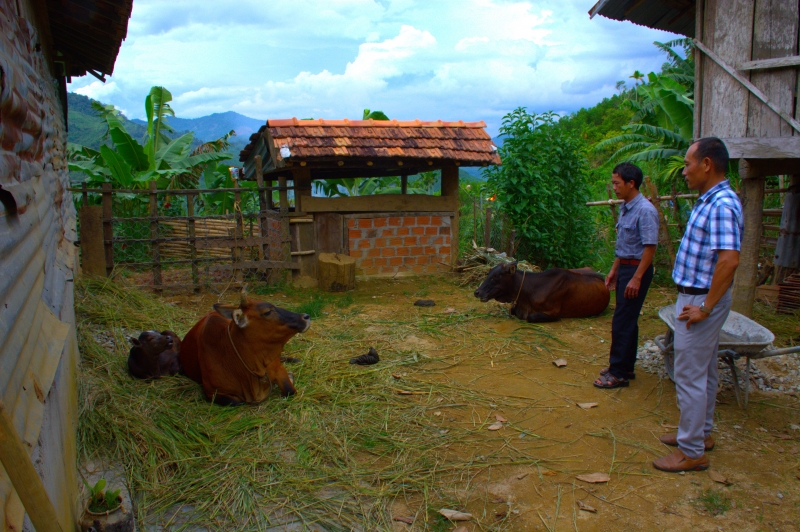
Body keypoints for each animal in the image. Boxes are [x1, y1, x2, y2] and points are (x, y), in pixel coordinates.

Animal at [180, 290, 310, 404]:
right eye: (267, 311)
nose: (306, 316)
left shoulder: (277, 367)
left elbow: (289, 390)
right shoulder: (212, 392)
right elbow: (235, 401)